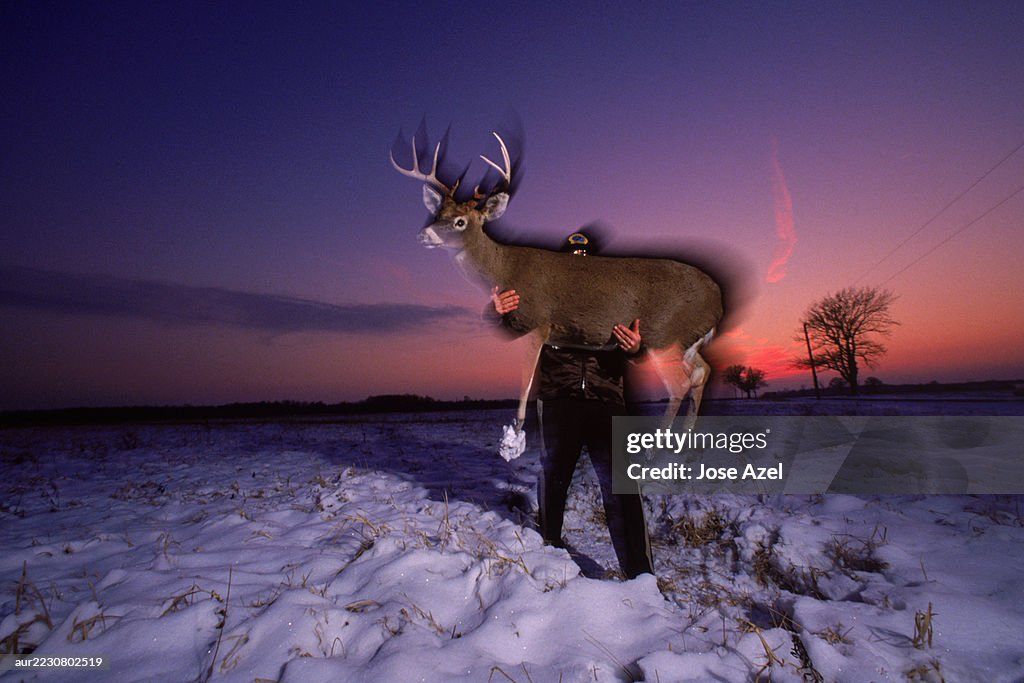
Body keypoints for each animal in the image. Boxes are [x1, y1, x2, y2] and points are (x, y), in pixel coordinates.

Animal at [391, 128, 723, 458]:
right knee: (702, 372)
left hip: (664, 334)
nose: (423, 234)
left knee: (679, 383)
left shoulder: (539, 321)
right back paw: (686, 444)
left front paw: (513, 441)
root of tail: (719, 300)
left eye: (460, 222)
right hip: (684, 342)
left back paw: (654, 450)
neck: (504, 269)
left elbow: (525, 386)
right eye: (438, 213)